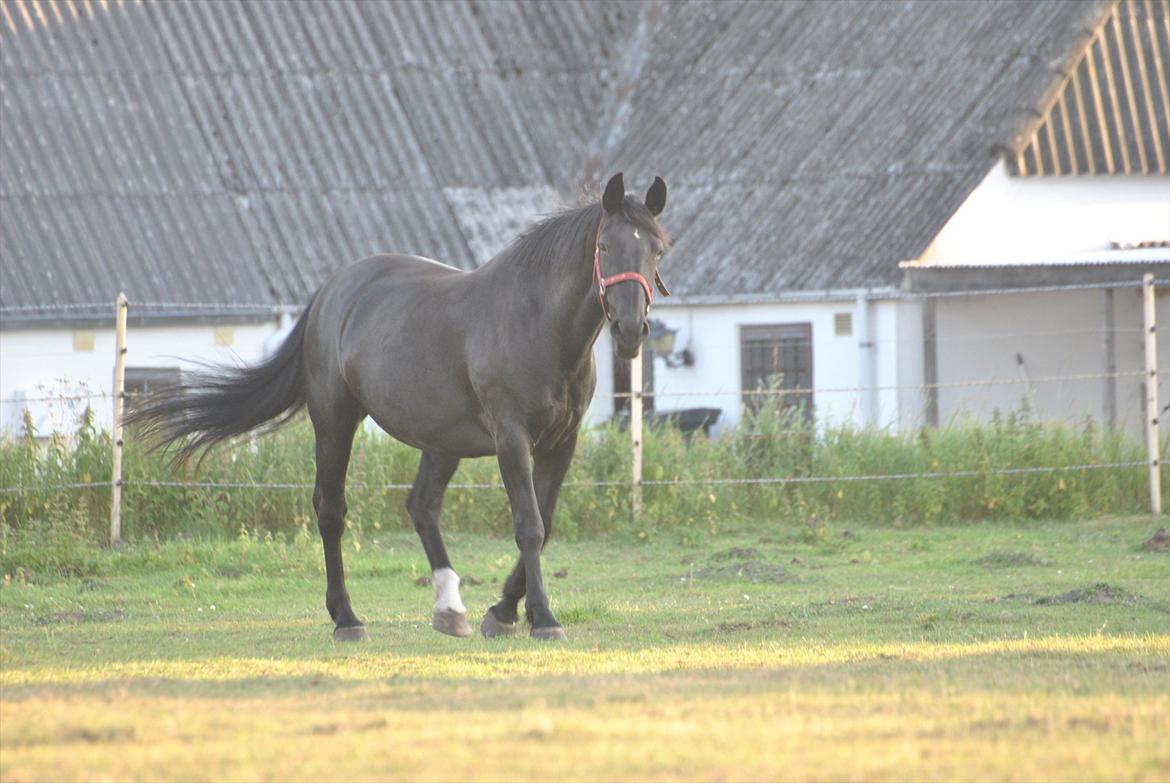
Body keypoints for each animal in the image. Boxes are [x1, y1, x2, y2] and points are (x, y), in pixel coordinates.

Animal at [124, 172, 673, 641]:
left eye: (657, 250)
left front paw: (502, 611)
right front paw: (542, 617)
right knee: (331, 509)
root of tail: (332, 292)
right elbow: (529, 525)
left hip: (442, 439)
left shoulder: (563, 442)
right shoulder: (511, 438)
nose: (630, 330)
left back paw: (450, 609)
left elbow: (547, 521)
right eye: (604, 247)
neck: (537, 323)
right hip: (335, 421)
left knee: (422, 506)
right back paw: (346, 618)